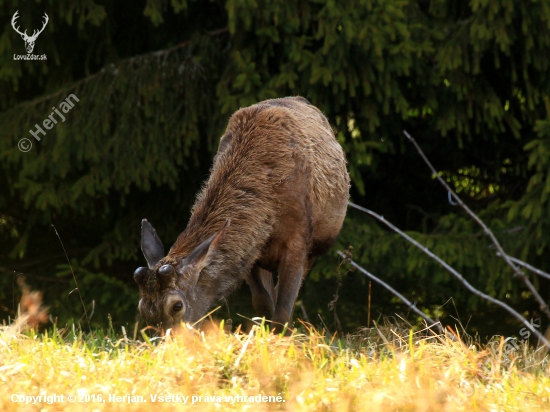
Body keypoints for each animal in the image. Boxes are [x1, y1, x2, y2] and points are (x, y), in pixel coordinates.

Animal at [133, 97, 350, 334]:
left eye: (177, 306)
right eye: (142, 308)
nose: (169, 341)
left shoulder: (298, 241)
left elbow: (283, 310)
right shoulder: (250, 249)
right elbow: (263, 302)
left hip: (317, 245)